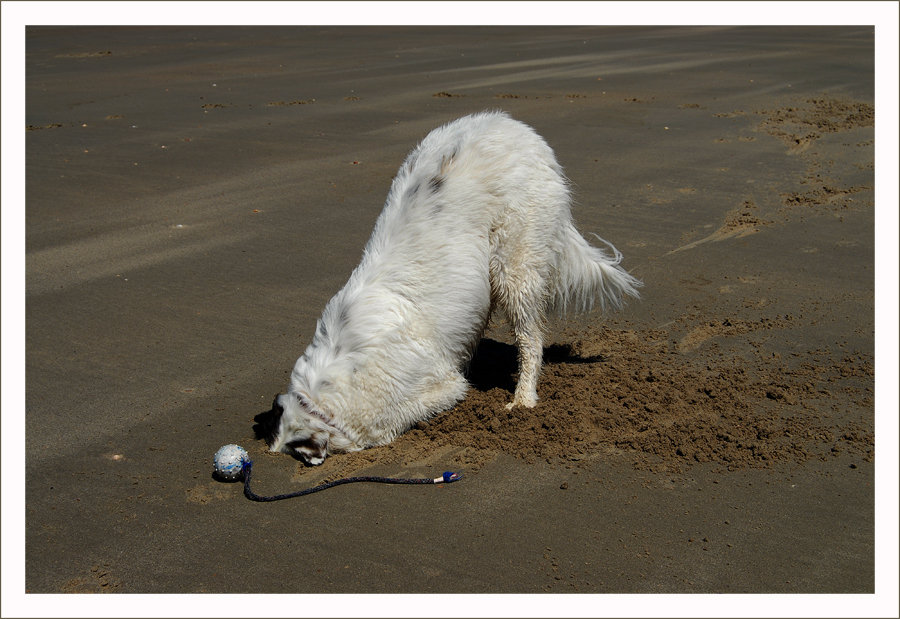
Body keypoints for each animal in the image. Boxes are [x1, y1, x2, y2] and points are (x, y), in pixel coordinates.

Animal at [256, 111, 644, 464]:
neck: (324, 392)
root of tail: (516, 127)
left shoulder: (437, 387)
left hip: (514, 265)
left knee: (531, 340)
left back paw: (522, 399)